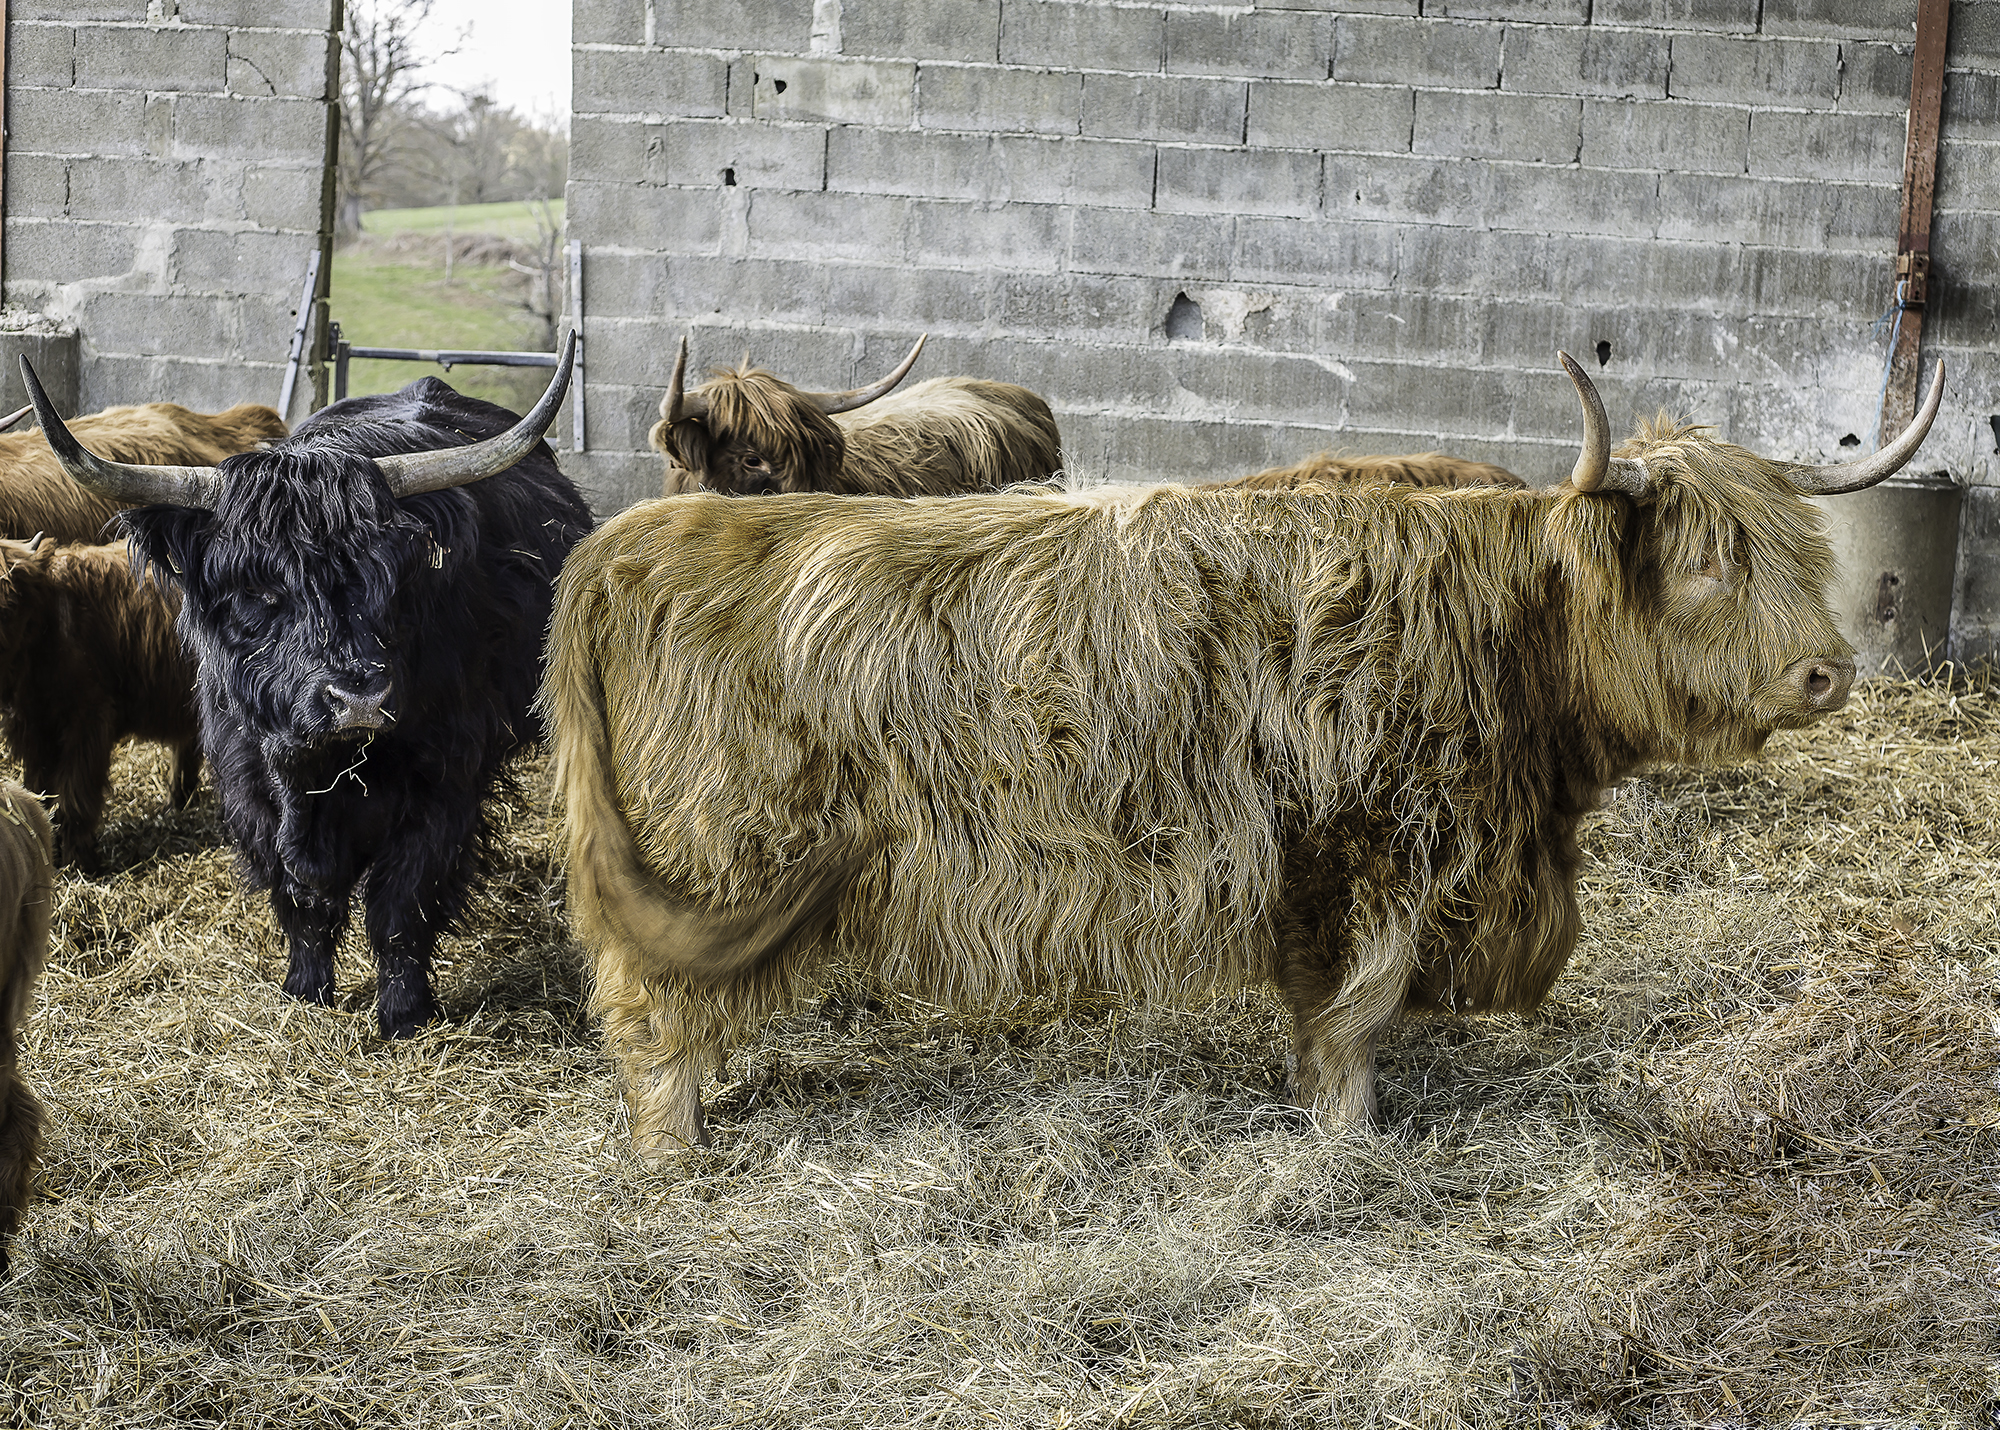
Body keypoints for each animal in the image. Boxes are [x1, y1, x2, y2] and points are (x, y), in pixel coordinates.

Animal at [0, 536, 200, 871]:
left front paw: (79, 859)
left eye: (10, 606)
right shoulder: (34, 731)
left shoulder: (87, 722)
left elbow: (75, 794)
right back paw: (178, 802)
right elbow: (41, 790)